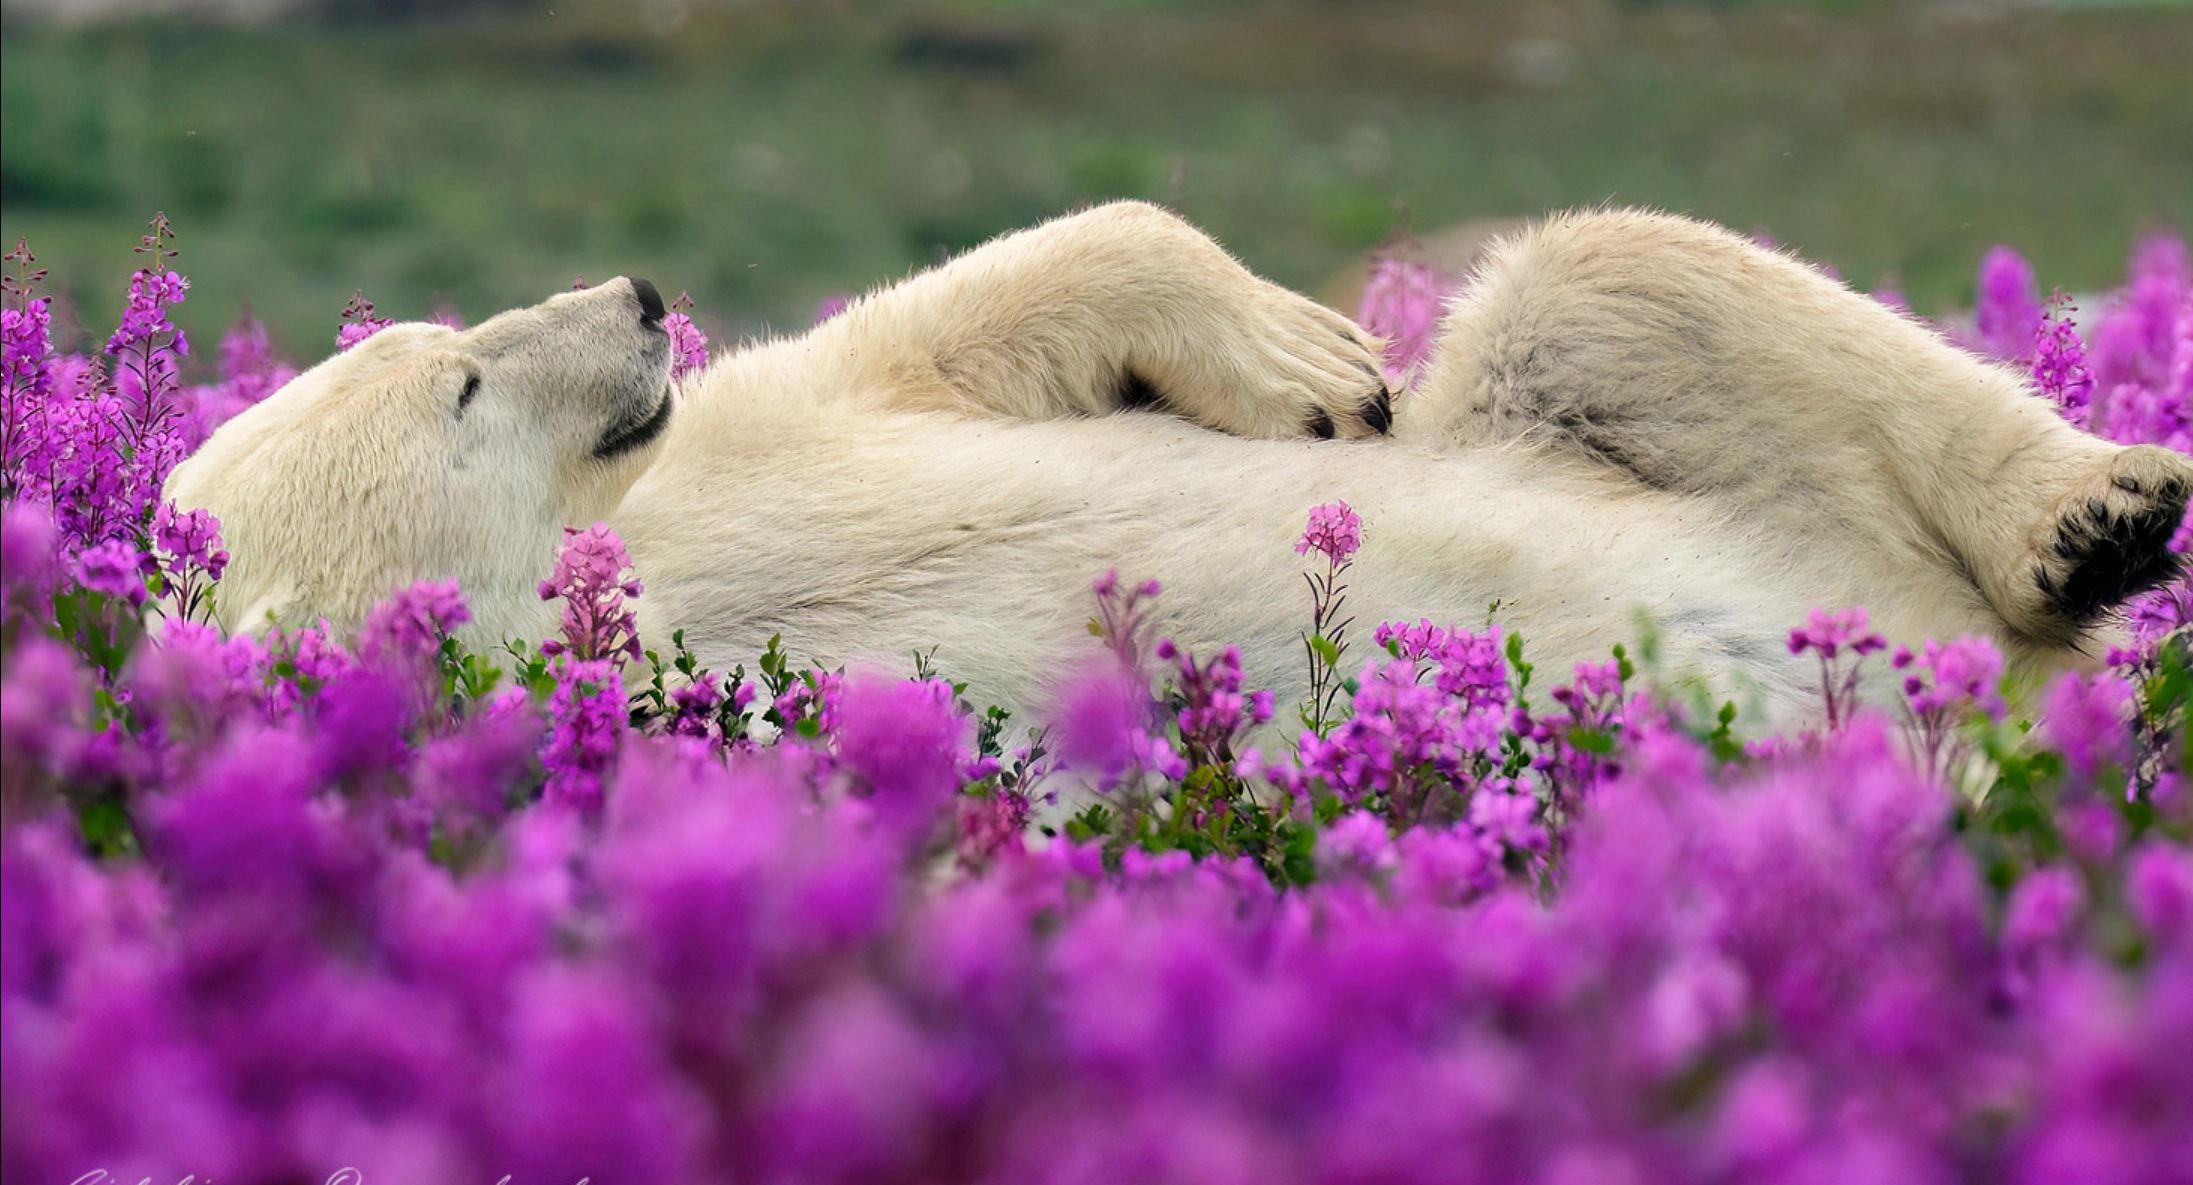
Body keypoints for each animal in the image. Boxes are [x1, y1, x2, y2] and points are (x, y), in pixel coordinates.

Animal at [163, 201, 2190, 730]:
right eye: (461, 391)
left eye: (442, 341)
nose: (641, 299)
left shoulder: (734, 457)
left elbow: (926, 344)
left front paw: (1309, 364)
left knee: (1600, 286)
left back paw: (2099, 511)